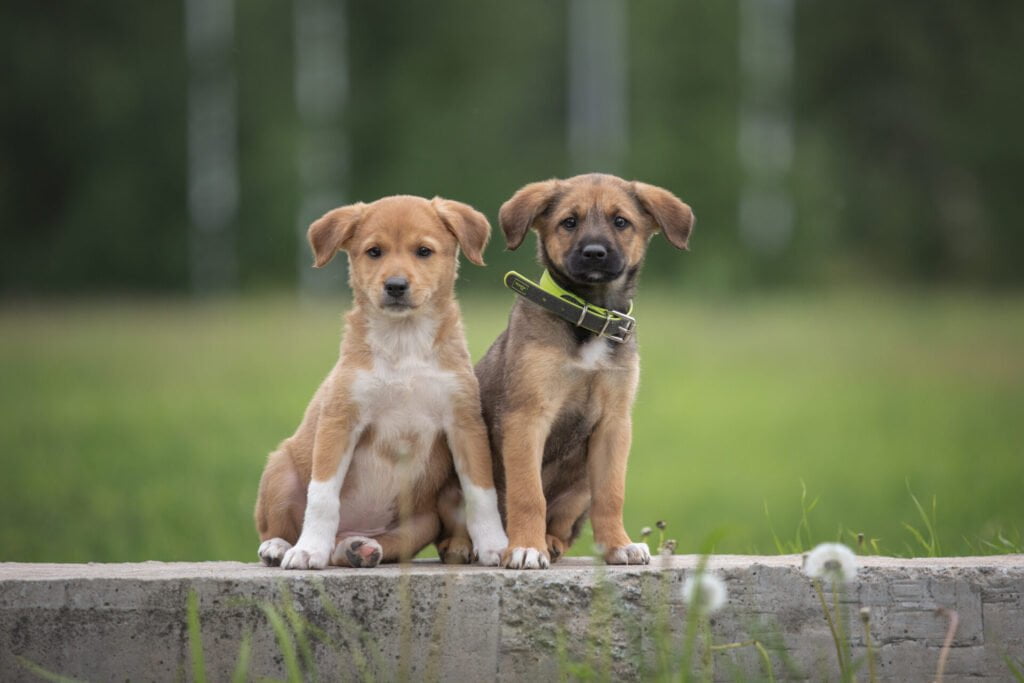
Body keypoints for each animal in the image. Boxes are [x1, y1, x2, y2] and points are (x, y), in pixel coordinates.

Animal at [254, 194, 507, 569]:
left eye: (423, 251)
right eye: (374, 252)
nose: (396, 286)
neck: (404, 342)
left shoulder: (465, 424)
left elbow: (481, 492)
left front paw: (496, 544)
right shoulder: (340, 422)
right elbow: (323, 495)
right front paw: (308, 550)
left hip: (421, 523)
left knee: (361, 548)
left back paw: (357, 549)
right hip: (280, 470)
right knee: (276, 526)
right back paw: (280, 547)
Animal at [475, 174, 692, 569]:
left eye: (621, 221)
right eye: (569, 222)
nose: (594, 252)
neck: (590, 316)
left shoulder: (614, 423)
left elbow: (612, 494)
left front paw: (618, 545)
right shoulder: (527, 417)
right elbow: (527, 493)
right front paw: (525, 548)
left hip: (579, 487)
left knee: (565, 522)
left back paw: (552, 541)